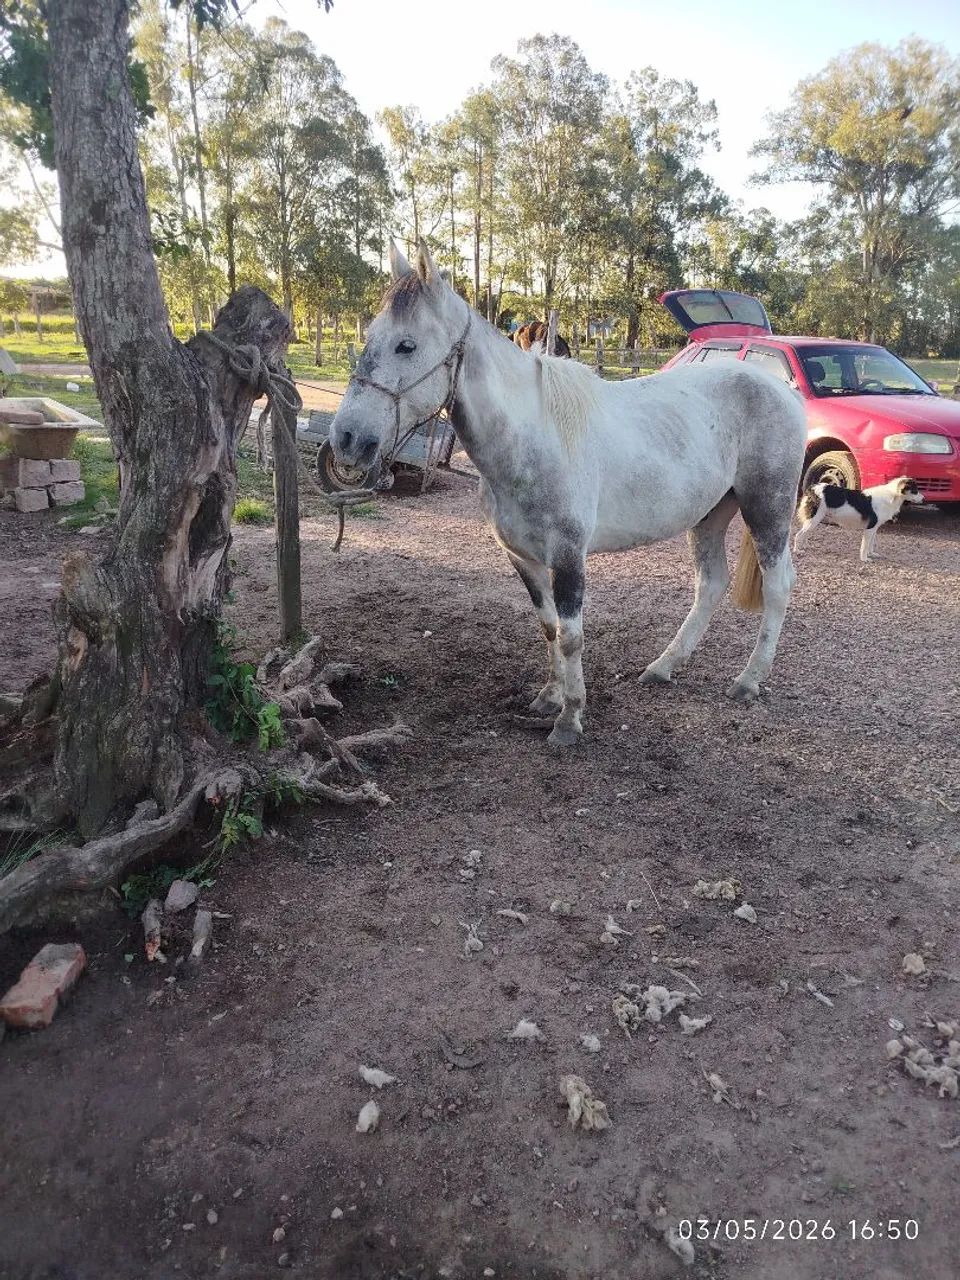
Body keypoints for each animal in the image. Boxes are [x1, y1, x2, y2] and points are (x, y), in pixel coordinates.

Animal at [329, 241, 806, 748]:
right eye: (370, 334)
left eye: (407, 345)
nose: (347, 439)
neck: (531, 437)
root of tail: (783, 389)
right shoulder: (523, 557)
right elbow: (549, 628)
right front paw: (549, 697)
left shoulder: (568, 555)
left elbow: (572, 634)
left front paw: (570, 719)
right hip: (710, 515)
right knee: (710, 584)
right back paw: (663, 666)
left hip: (766, 509)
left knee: (778, 585)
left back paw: (749, 679)